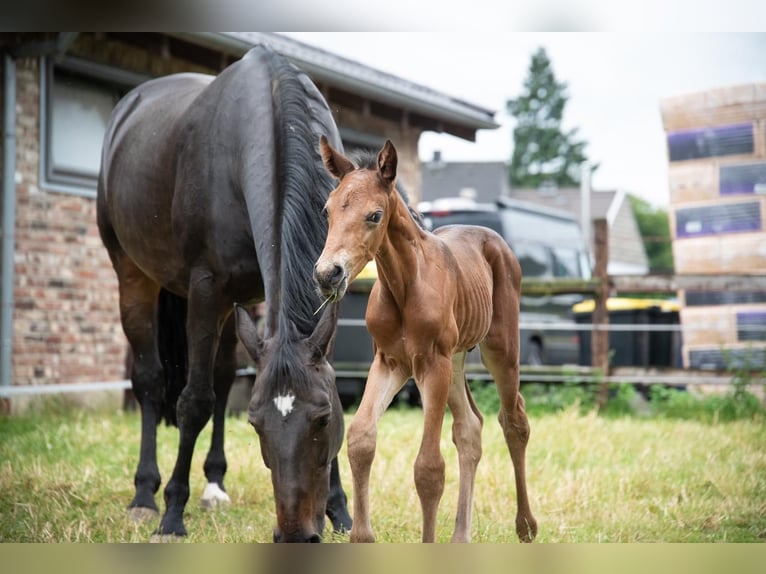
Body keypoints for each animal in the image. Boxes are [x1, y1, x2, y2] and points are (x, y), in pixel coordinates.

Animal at [316, 137, 536, 544]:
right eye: (327, 211)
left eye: (374, 215)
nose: (327, 274)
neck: (404, 286)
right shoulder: (389, 362)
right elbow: (361, 438)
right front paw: (362, 537)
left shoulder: (432, 364)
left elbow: (429, 468)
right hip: (456, 359)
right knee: (470, 428)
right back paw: (461, 537)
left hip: (498, 349)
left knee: (514, 421)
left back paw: (526, 526)